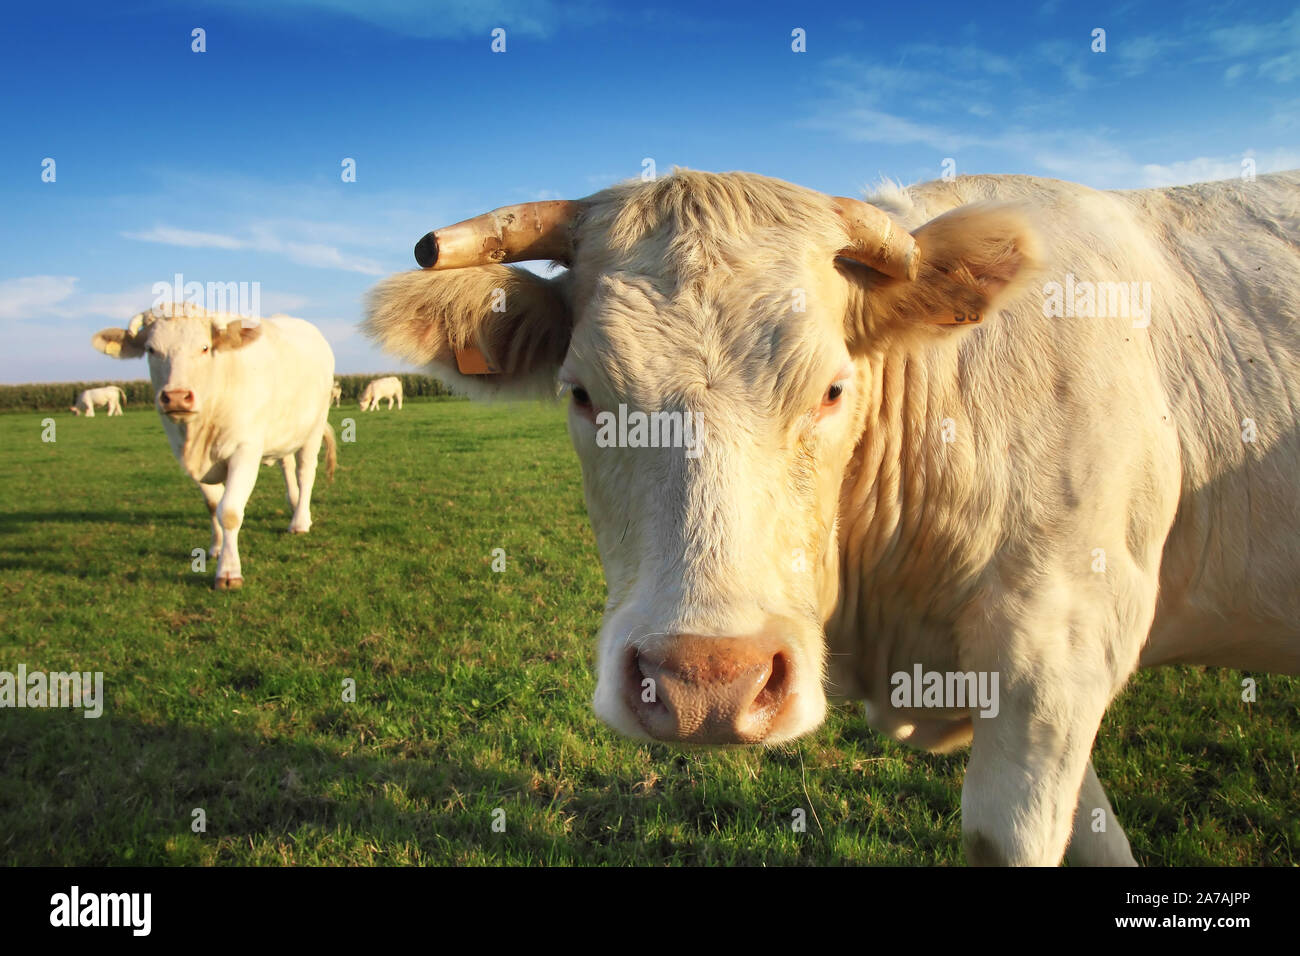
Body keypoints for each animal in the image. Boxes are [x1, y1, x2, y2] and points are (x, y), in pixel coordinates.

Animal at [91, 306, 335, 590]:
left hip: (314, 427)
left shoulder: (244, 450)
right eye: (151, 349)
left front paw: (228, 572)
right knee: (287, 465)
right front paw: (216, 548)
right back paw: (294, 504)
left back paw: (300, 520)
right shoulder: (191, 461)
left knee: (305, 473)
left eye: (205, 347)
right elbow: (212, 505)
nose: (177, 397)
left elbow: (228, 510)